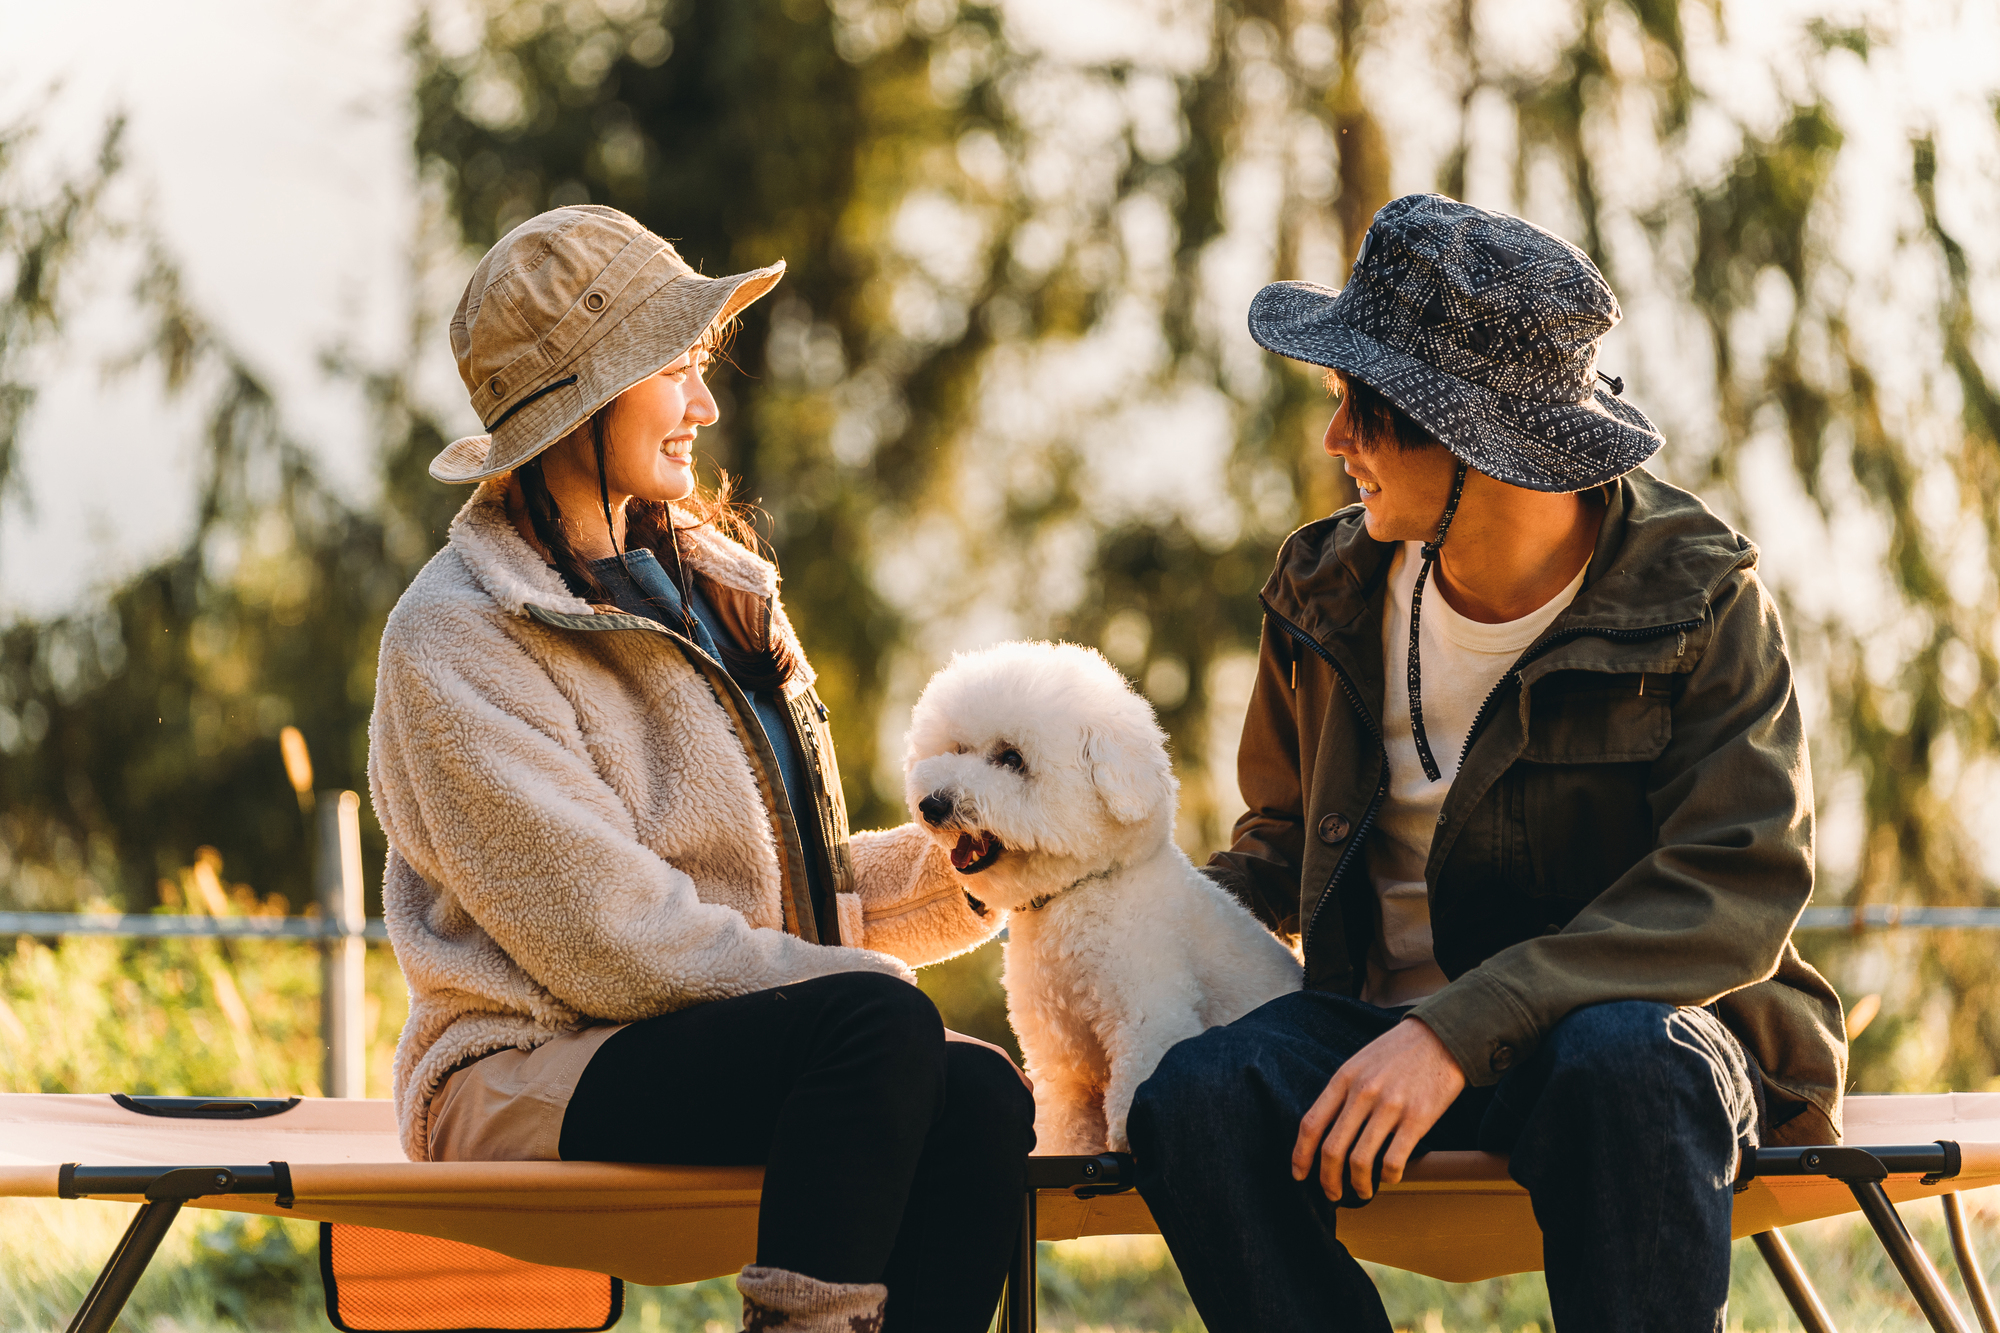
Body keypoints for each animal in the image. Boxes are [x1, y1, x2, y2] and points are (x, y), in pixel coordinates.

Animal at [912, 640, 1312, 1144]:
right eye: (959, 749)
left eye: (1012, 758)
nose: (933, 804)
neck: (1080, 893)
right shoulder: (1065, 1070)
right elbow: (1064, 1130)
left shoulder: (1148, 1027)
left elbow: (1126, 1119)